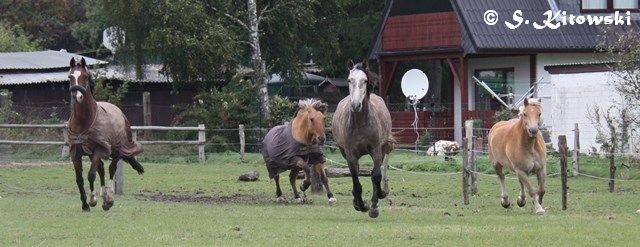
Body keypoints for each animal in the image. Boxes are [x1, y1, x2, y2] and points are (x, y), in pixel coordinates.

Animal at [67, 57, 145, 210]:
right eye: (70, 76)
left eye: (85, 76)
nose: (76, 96)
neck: (83, 122)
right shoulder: (76, 152)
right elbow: (79, 179)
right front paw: (85, 205)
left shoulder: (100, 149)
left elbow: (91, 175)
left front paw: (92, 200)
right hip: (92, 153)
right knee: (102, 169)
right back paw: (103, 194)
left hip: (116, 151)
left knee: (111, 169)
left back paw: (108, 199)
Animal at [330, 60, 396, 218]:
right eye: (349, 80)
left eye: (365, 80)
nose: (355, 105)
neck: (360, 123)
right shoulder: (350, 154)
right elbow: (355, 179)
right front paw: (361, 205)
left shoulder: (376, 150)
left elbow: (376, 176)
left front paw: (374, 206)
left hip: (382, 150)